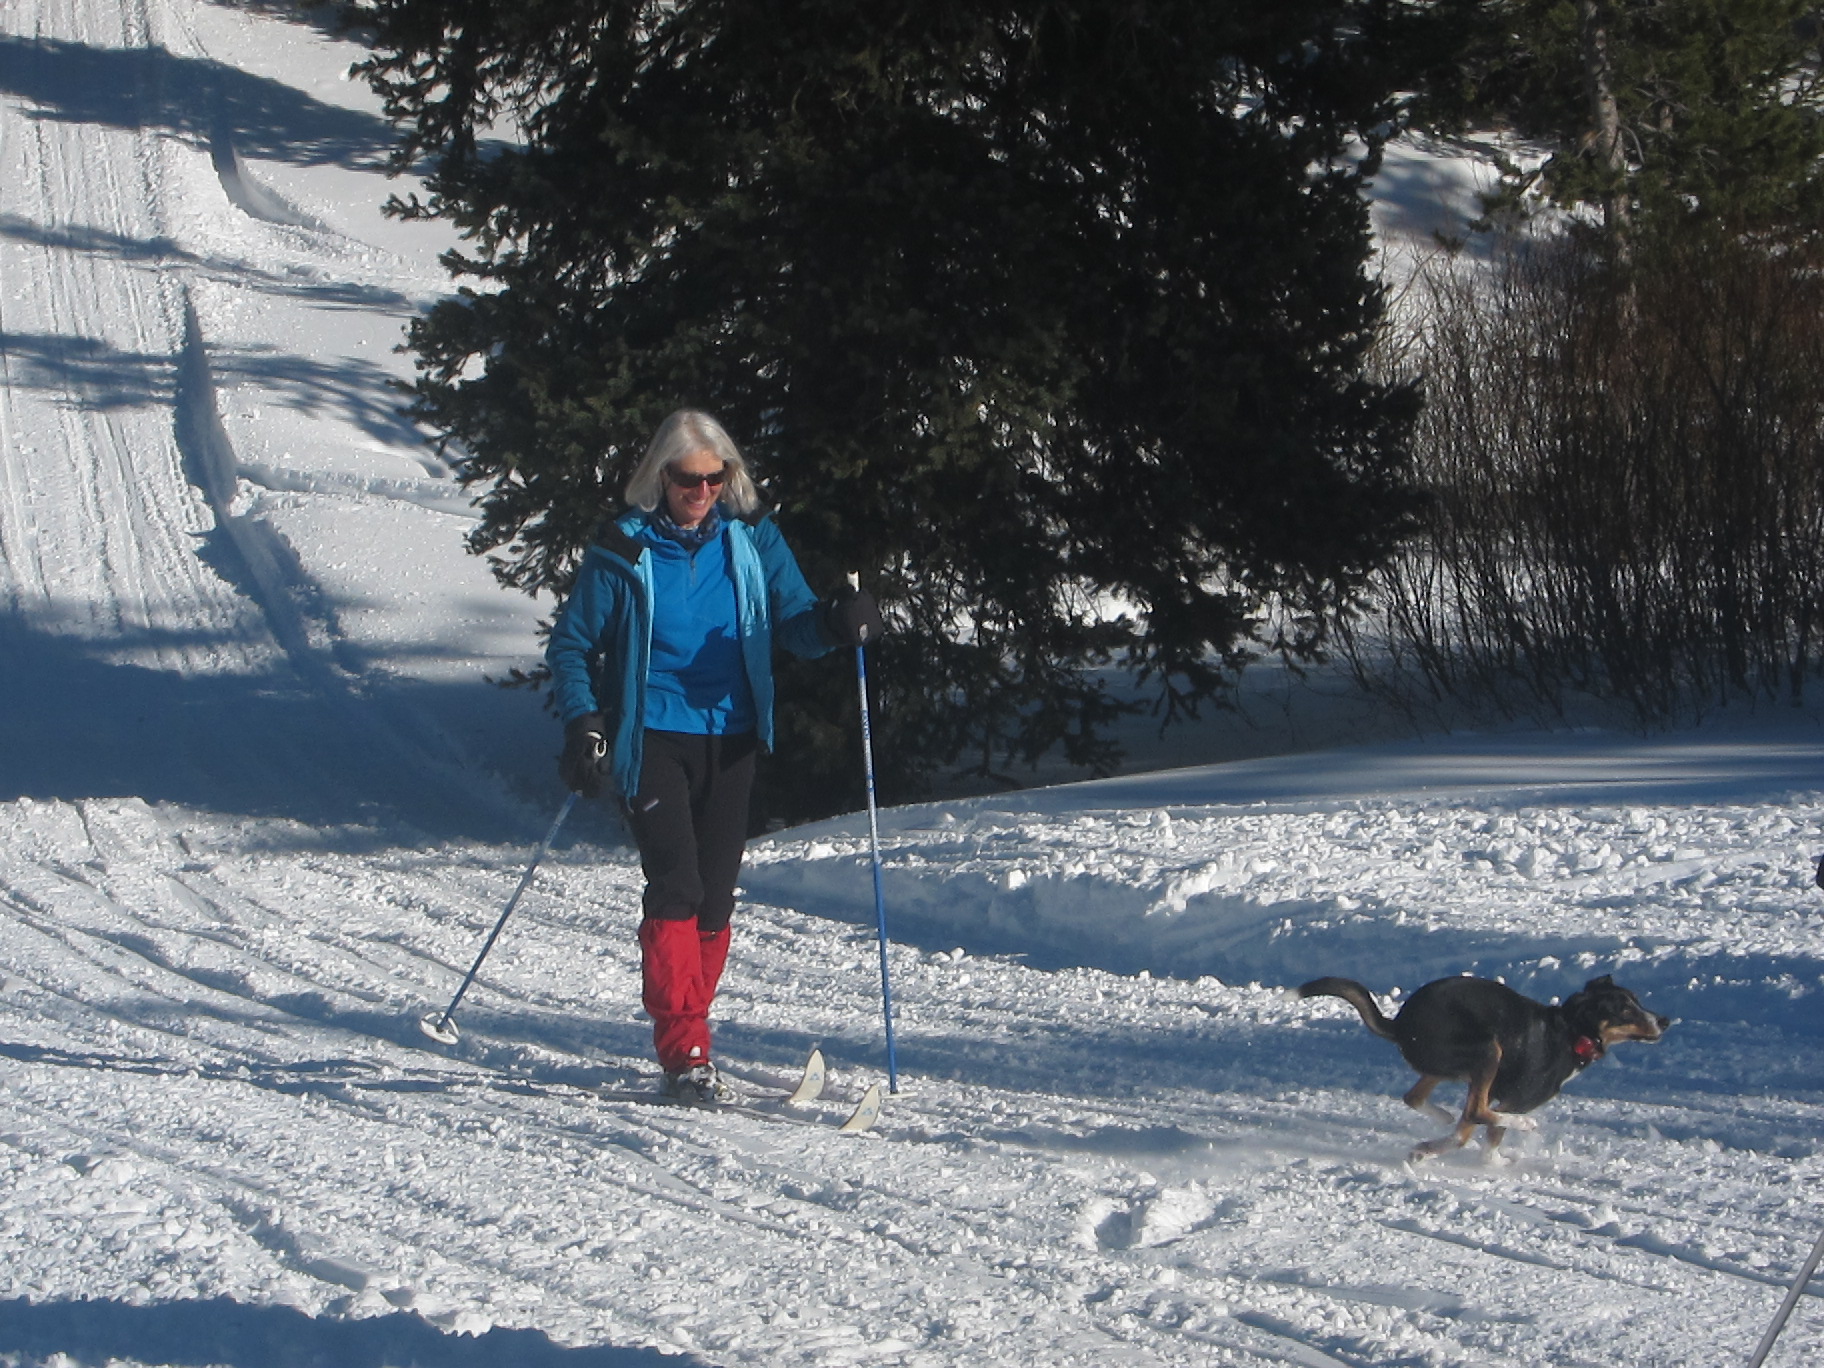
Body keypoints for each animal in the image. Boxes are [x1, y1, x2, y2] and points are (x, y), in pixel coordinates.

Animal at [1298, 970, 1670, 1160]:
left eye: (1637, 1001)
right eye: (1625, 1010)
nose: (1664, 1020)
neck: (1571, 1032)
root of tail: (1401, 1024)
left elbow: (1464, 1133)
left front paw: (1427, 1149)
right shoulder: (1512, 1100)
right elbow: (1487, 1135)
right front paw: (1496, 1167)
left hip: (1458, 1066)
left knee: (1420, 1100)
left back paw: (1438, 1124)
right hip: (1487, 1052)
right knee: (1475, 1113)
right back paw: (1524, 1126)